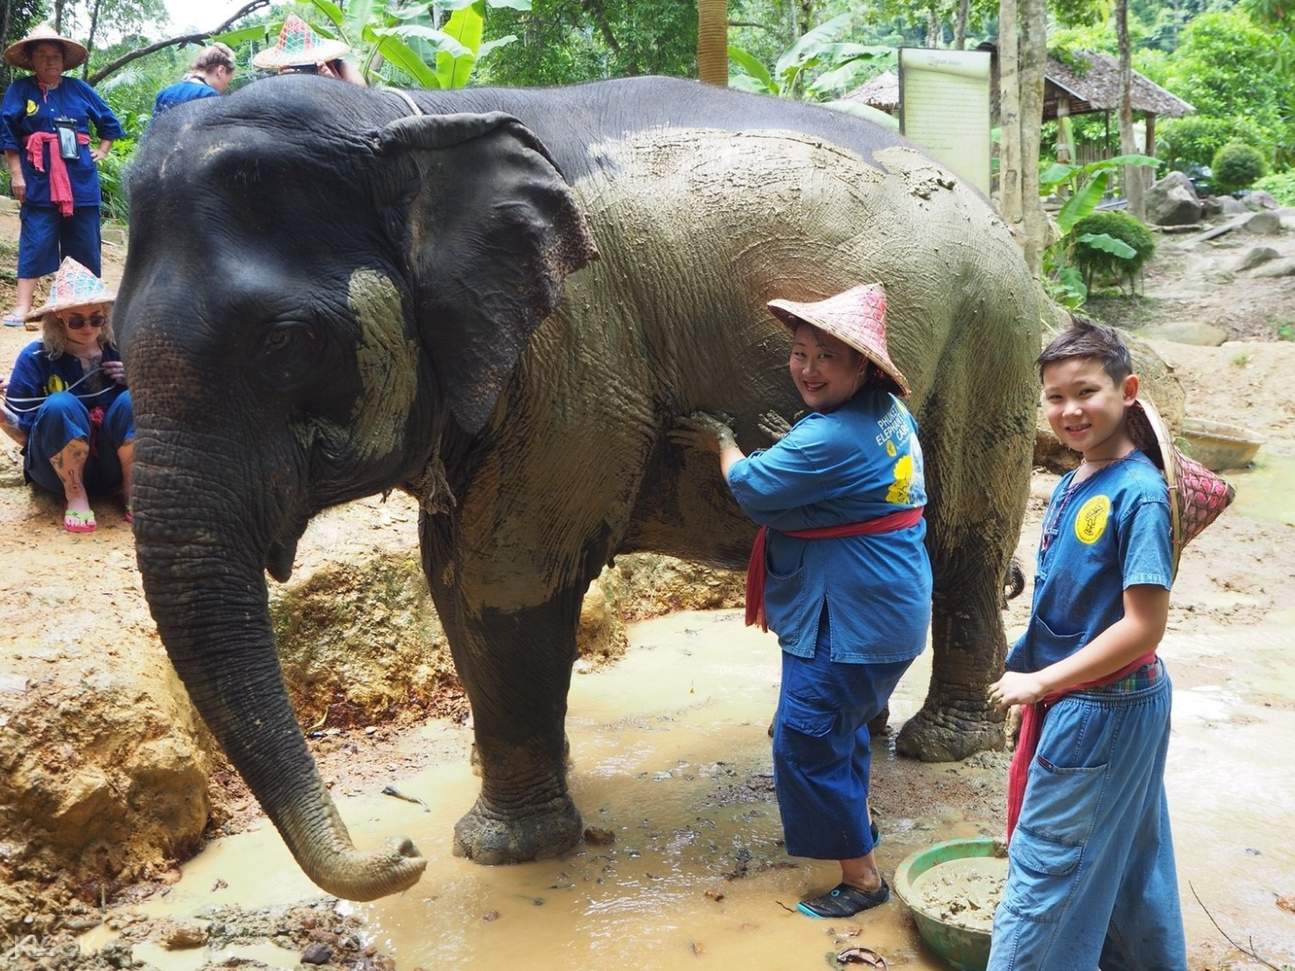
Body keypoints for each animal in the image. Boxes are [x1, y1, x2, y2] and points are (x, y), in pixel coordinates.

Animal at [117, 75, 1041, 902]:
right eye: (114, 344)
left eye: (286, 343)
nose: (401, 852)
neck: (401, 114)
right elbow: (450, 574)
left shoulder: (570, 347)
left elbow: (502, 572)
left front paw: (498, 849)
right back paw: (875, 731)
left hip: (991, 331)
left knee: (962, 534)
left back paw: (939, 743)